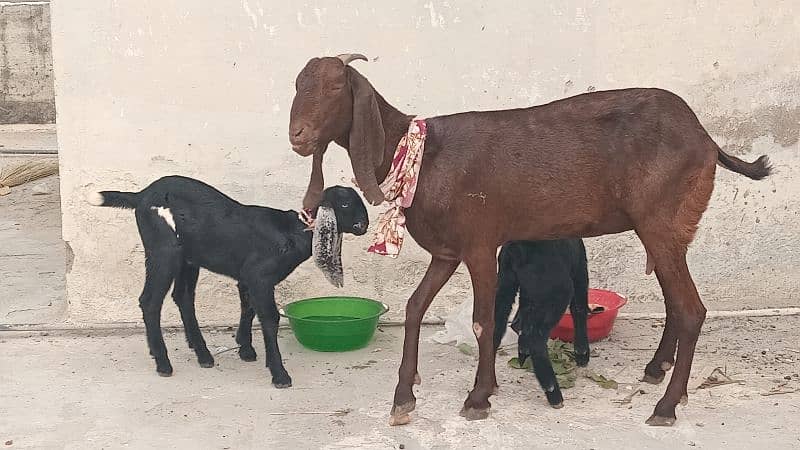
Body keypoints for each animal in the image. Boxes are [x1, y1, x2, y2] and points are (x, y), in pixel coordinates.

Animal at [288, 52, 768, 426]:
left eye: (336, 86)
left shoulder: (481, 244)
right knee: (675, 301)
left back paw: (666, 405)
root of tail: (706, 139)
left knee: (691, 309)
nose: (297, 136)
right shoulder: (447, 252)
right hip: (667, 230)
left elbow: (484, 321)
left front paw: (478, 397)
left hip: (661, 221)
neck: (422, 156)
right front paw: (404, 398)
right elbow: (413, 308)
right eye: (297, 84)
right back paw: (656, 370)